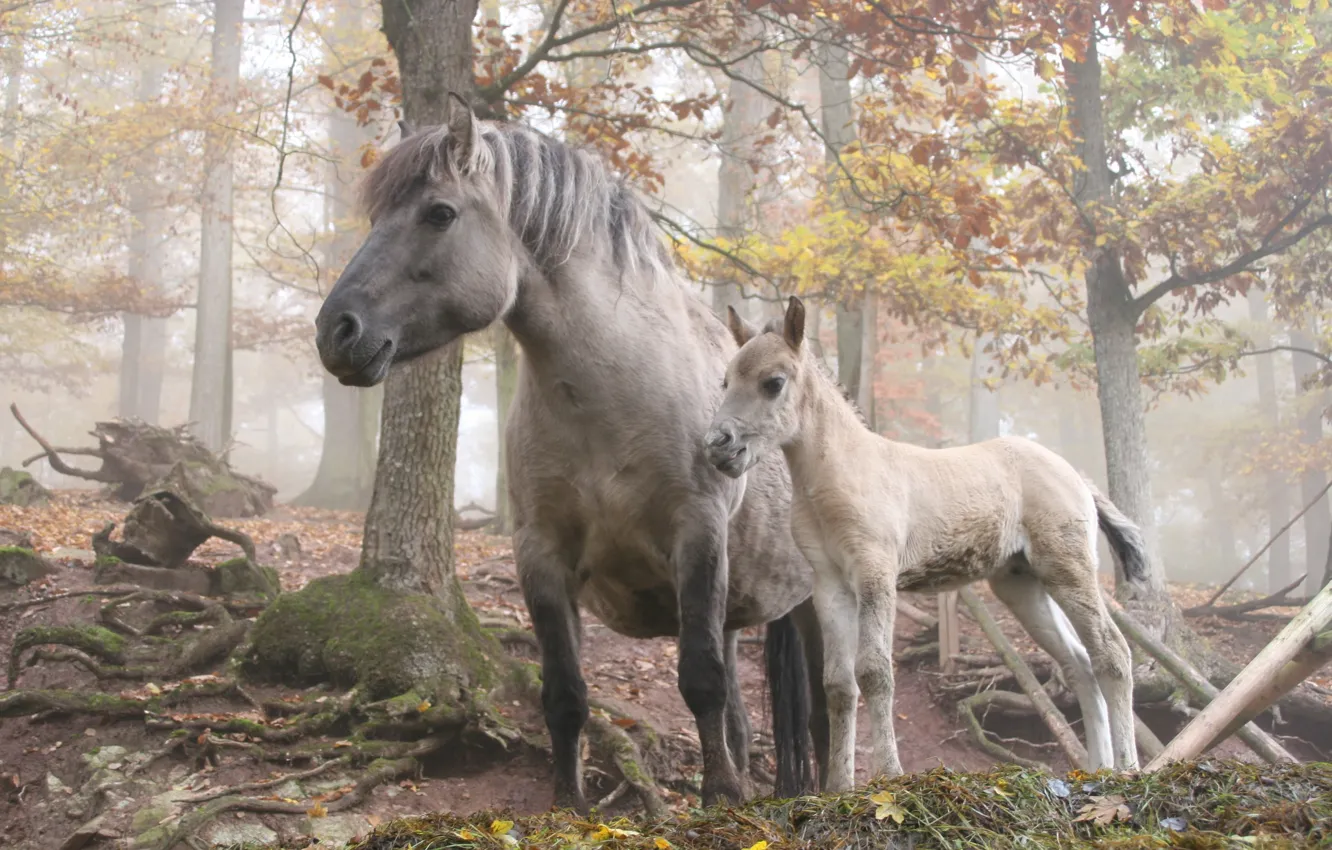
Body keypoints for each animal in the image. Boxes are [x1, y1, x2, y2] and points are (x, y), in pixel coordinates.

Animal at [315, 96, 825, 810]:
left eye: (439, 213)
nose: (336, 332)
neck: (609, 398)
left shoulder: (697, 533)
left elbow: (700, 679)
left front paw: (721, 798)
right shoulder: (541, 554)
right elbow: (565, 694)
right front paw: (569, 804)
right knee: (742, 713)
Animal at [703, 298, 1150, 794]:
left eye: (773, 382)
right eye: (726, 381)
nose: (718, 445)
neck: (841, 475)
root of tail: (1076, 476)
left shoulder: (876, 575)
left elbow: (874, 673)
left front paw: (889, 774)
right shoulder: (830, 585)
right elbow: (838, 683)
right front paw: (839, 787)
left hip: (1068, 569)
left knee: (1112, 653)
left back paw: (1128, 768)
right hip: (1022, 585)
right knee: (1078, 664)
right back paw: (1097, 770)